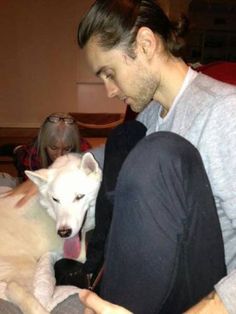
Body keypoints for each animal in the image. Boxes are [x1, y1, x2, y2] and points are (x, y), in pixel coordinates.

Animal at [0, 153, 101, 314]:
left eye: (79, 196)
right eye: (55, 199)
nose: (63, 232)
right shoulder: (80, 255)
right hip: (26, 266)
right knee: (13, 288)